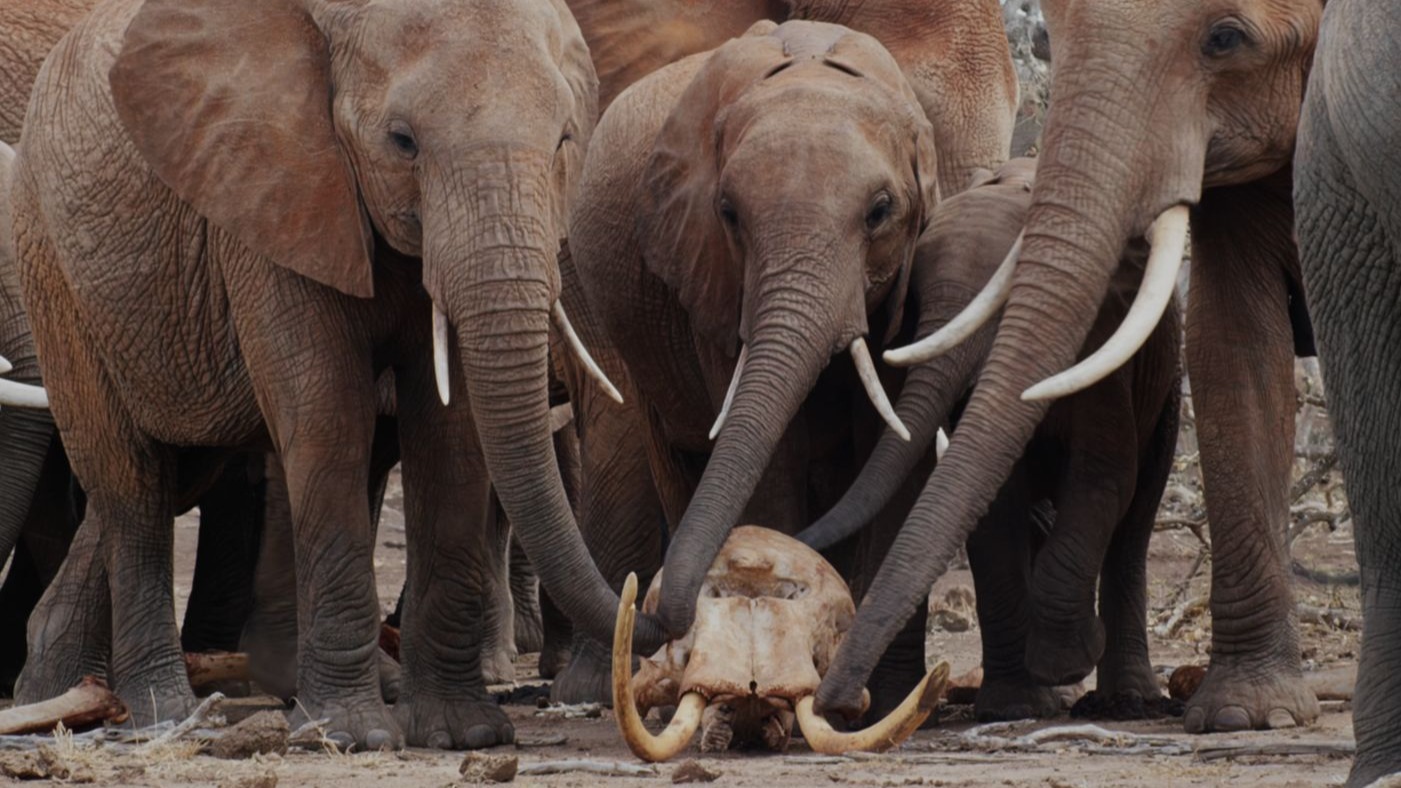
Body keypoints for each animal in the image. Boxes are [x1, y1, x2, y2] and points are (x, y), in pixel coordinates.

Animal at [9, 0, 660, 750]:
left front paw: (462, 734)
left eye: (563, 141)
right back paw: (160, 713)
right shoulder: (271, 190)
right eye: (402, 141)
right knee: (131, 482)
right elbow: (327, 413)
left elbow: (451, 431)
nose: (643, 603)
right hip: (51, 266)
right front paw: (352, 735)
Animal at [543, 0, 1019, 700]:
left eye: (881, 211)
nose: (653, 609)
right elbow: (769, 453)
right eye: (728, 213)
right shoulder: (710, 276)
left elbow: (884, 440)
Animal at [797, 158, 1181, 721]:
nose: (834, 706)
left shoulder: (1104, 344)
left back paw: (1126, 701)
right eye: (915, 301)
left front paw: (1065, 661)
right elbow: (995, 503)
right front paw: (1016, 706)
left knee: (1137, 516)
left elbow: (1103, 478)